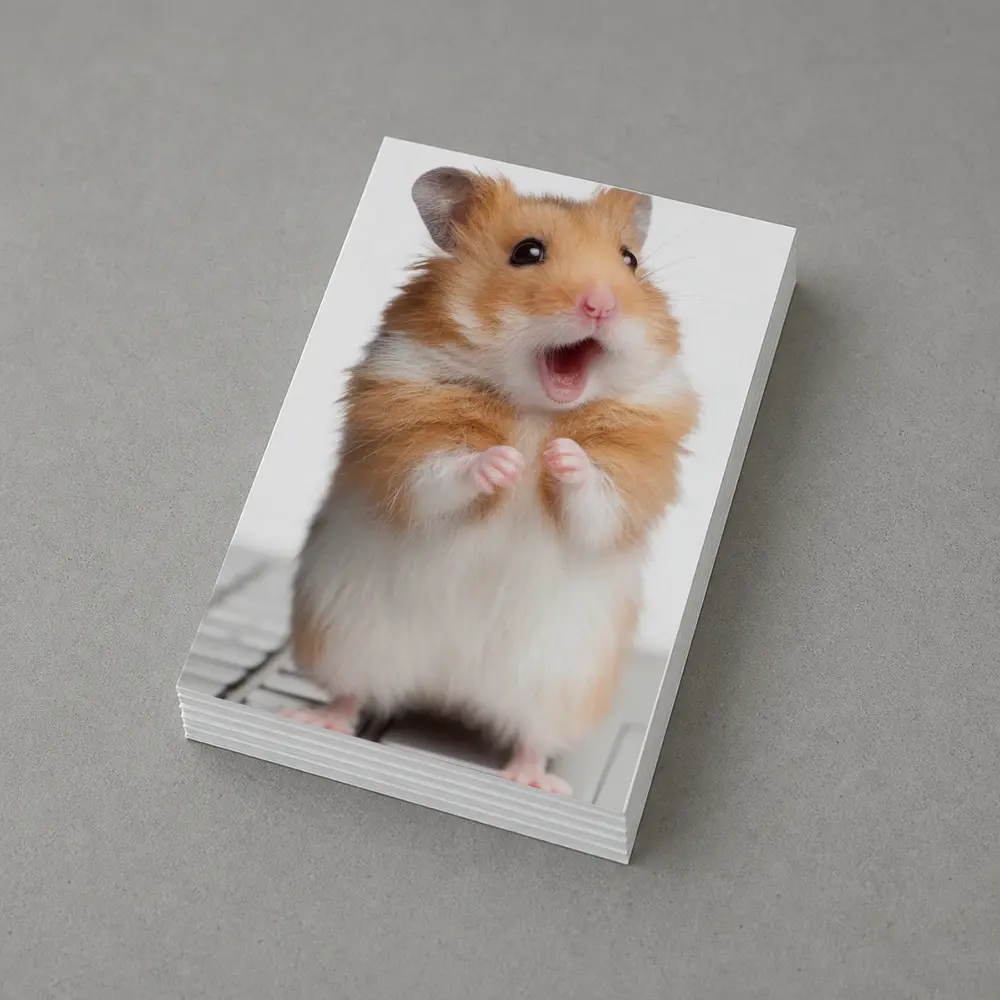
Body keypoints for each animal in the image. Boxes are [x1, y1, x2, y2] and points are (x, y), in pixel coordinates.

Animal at [285, 166, 698, 795]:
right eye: (527, 252)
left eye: (629, 260)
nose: (601, 305)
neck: (536, 407)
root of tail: (448, 694)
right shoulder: (406, 448)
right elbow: (442, 474)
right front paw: (505, 462)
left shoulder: (631, 480)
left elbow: (597, 500)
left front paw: (559, 455)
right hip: (347, 635)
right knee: (353, 693)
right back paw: (314, 720)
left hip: (560, 683)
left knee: (533, 739)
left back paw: (534, 783)